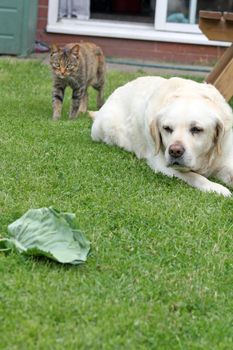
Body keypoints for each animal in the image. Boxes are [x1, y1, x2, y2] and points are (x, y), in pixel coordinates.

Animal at [90, 76, 233, 196]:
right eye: (167, 128)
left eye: (196, 129)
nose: (175, 151)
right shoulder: (162, 165)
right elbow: (195, 177)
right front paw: (217, 188)